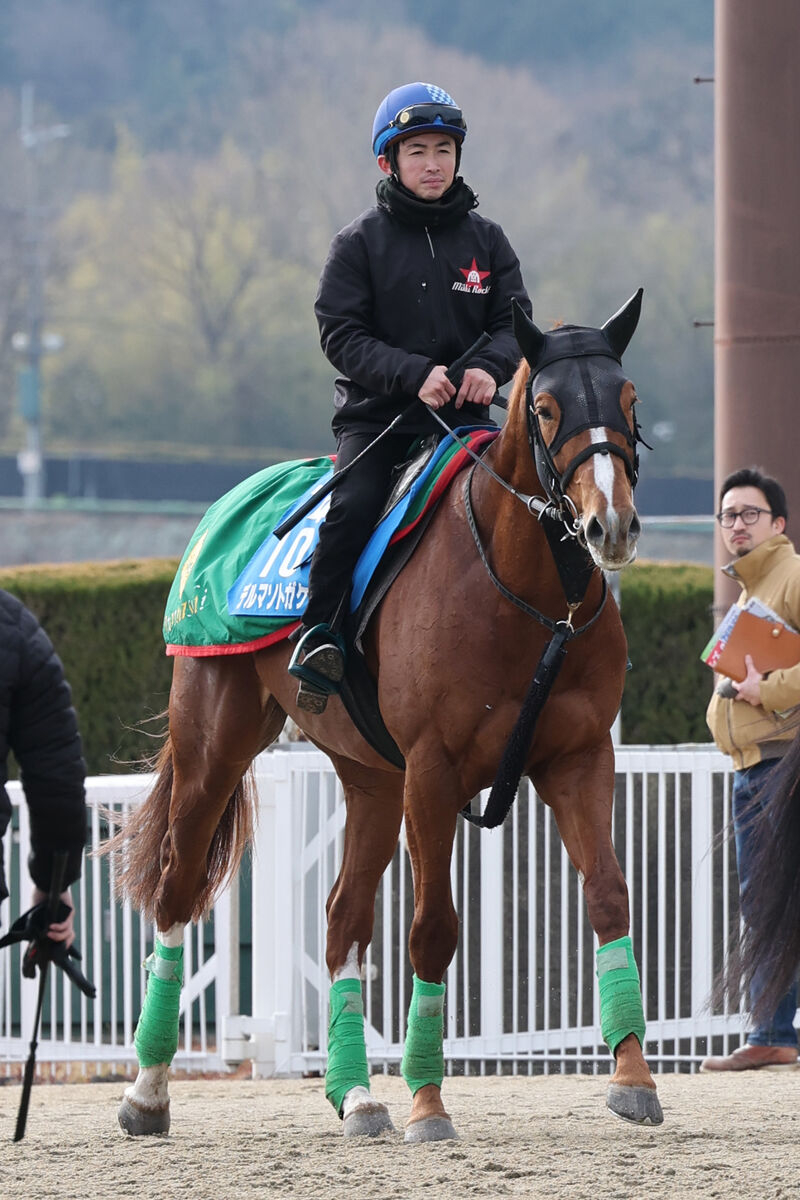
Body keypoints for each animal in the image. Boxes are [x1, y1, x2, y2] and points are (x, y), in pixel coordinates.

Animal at [107, 288, 671, 1132]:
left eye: (629, 400)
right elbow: (433, 929)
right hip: (215, 745)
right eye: (544, 408)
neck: (529, 593)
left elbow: (608, 895)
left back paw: (356, 1093)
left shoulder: (577, 757)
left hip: (371, 779)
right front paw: (429, 1101)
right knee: (177, 887)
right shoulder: (434, 774)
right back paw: (147, 1090)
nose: (613, 524)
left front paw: (633, 1075)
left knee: (343, 917)